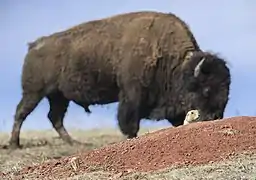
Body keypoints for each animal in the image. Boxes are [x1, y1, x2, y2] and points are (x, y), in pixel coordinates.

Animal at [10, 10, 231, 149]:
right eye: (206, 90)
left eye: (226, 94)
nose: (215, 117)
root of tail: (35, 45)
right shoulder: (131, 95)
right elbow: (129, 123)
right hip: (35, 92)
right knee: (22, 113)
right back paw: (14, 144)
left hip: (58, 96)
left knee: (54, 117)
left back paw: (76, 143)